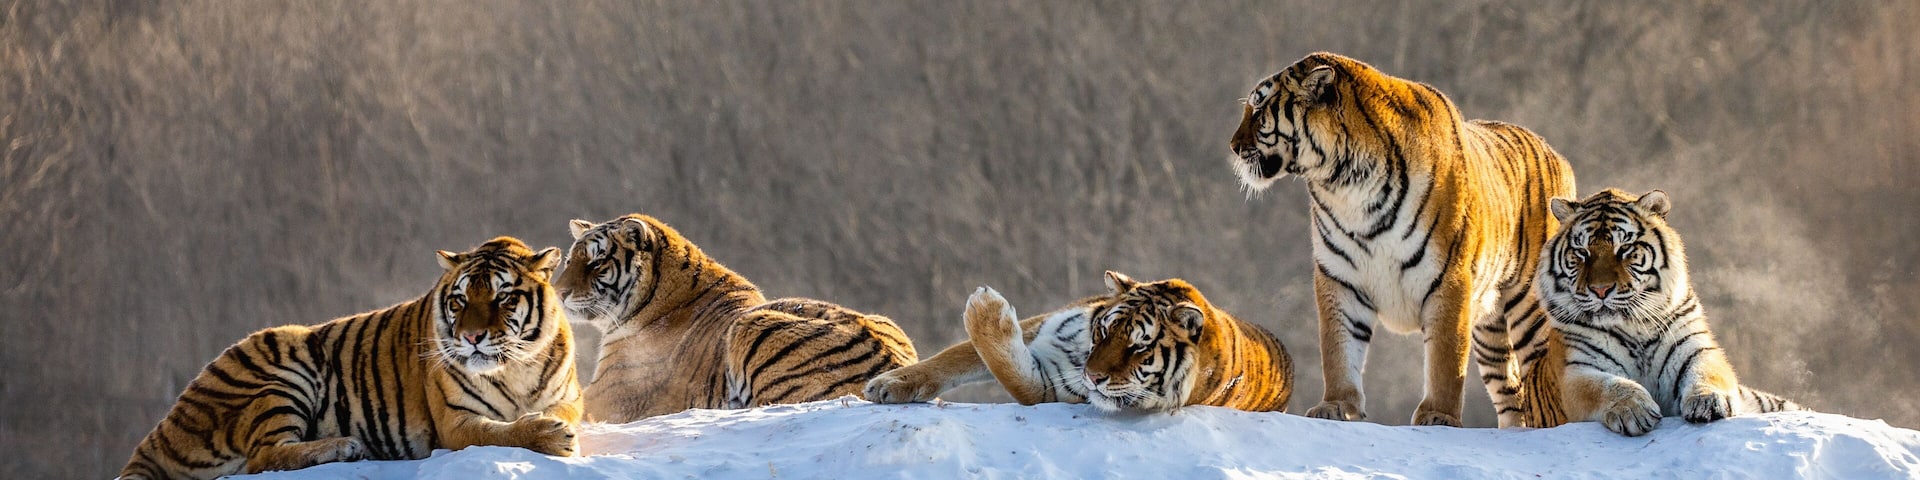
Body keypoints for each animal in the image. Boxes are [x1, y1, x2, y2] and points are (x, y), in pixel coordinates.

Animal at [119, 237, 583, 480]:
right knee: (262, 457)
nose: (470, 338)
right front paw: (549, 436)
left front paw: (551, 425)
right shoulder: (456, 423)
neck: (516, 367)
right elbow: (498, 433)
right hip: (285, 363)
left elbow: (552, 412)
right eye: (460, 300)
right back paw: (343, 447)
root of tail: (163, 430)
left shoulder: (571, 398)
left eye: (503, 297)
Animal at [864, 271, 1293, 413]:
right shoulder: (1046, 325)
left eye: (1139, 346)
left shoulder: (1051, 387)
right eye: (1104, 331)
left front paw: (985, 309)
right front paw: (889, 384)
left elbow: (1012, 375)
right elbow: (956, 356)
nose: (1093, 377)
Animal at [1229, 52, 1577, 427]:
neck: (1345, 184)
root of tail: (1558, 156)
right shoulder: (1340, 277)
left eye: (1259, 110)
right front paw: (1336, 405)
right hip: (1489, 328)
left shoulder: (1449, 278)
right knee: (1511, 392)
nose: (1233, 146)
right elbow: (1339, 348)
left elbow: (1444, 359)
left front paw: (1438, 415)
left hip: (1530, 307)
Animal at [1532, 188, 1801, 436]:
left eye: (1625, 248)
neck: (1633, 326)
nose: (1601, 289)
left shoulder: (1695, 348)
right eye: (1582, 252)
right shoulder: (1576, 369)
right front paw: (1633, 409)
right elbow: (1607, 385)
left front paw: (1709, 402)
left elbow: (1707, 372)